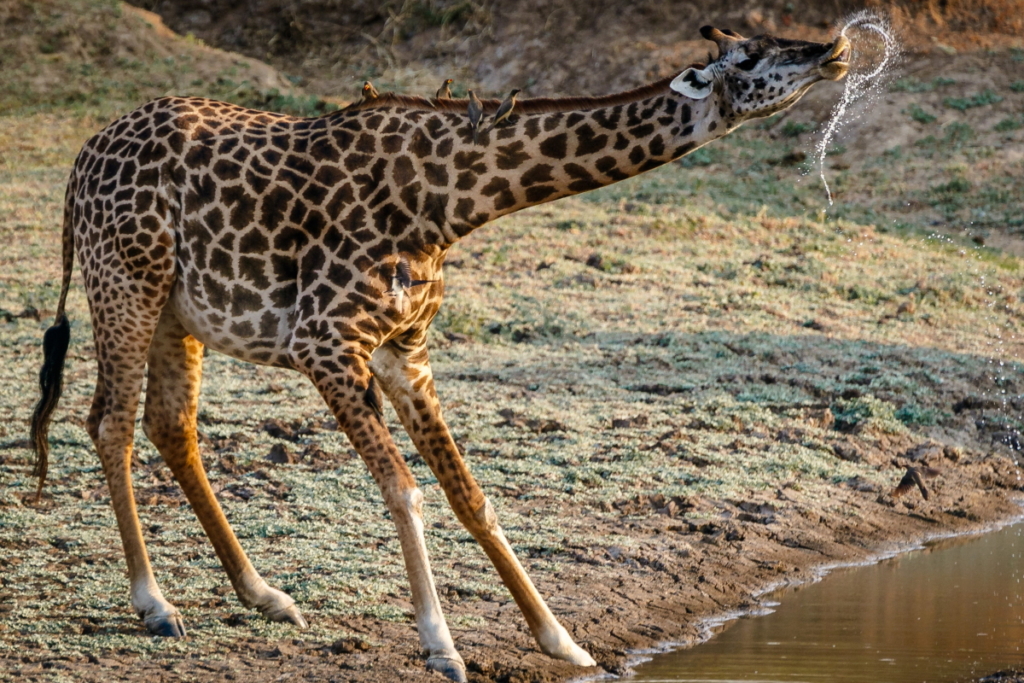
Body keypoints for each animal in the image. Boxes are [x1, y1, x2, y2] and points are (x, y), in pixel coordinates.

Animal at [29, 26, 847, 683]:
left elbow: (469, 493)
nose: (833, 50)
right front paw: (442, 648)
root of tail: (78, 165)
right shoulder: (324, 341)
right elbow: (405, 488)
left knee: (171, 425)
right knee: (110, 422)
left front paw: (563, 640)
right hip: (126, 283)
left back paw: (265, 595)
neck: (449, 201)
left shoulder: (404, 348)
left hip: (179, 309)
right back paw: (155, 604)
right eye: (752, 55)